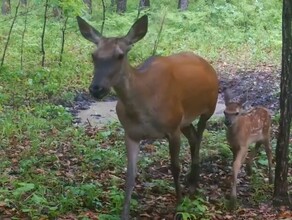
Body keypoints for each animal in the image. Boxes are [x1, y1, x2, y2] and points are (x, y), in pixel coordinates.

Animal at [76, 15, 218, 218]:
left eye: (120, 55)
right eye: (93, 55)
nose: (96, 89)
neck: (143, 108)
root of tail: (206, 63)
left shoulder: (172, 128)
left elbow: (175, 167)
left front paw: (179, 205)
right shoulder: (131, 133)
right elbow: (130, 175)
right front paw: (124, 214)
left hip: (208, 108)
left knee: (198, 138)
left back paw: (192, 184)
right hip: (184, 120)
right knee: (193, 137)